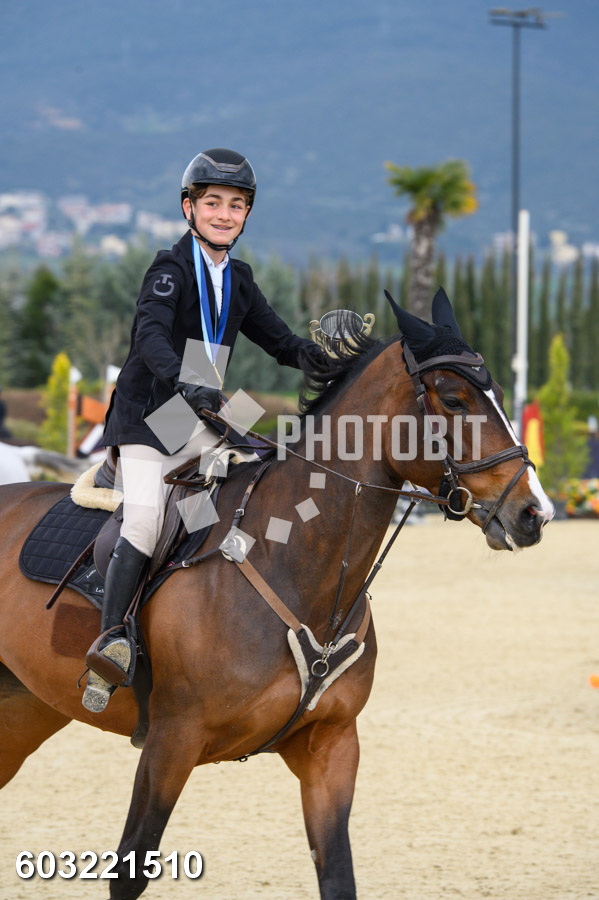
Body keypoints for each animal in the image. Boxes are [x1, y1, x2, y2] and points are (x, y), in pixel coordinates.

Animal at [0, 290, 553, 899]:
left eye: (497, 395)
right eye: (454, 400)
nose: (535, 512)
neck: (296, 565)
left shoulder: (331, 747)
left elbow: (337, 874)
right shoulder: (170, 742)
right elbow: (129, 870)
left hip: (24, 709)